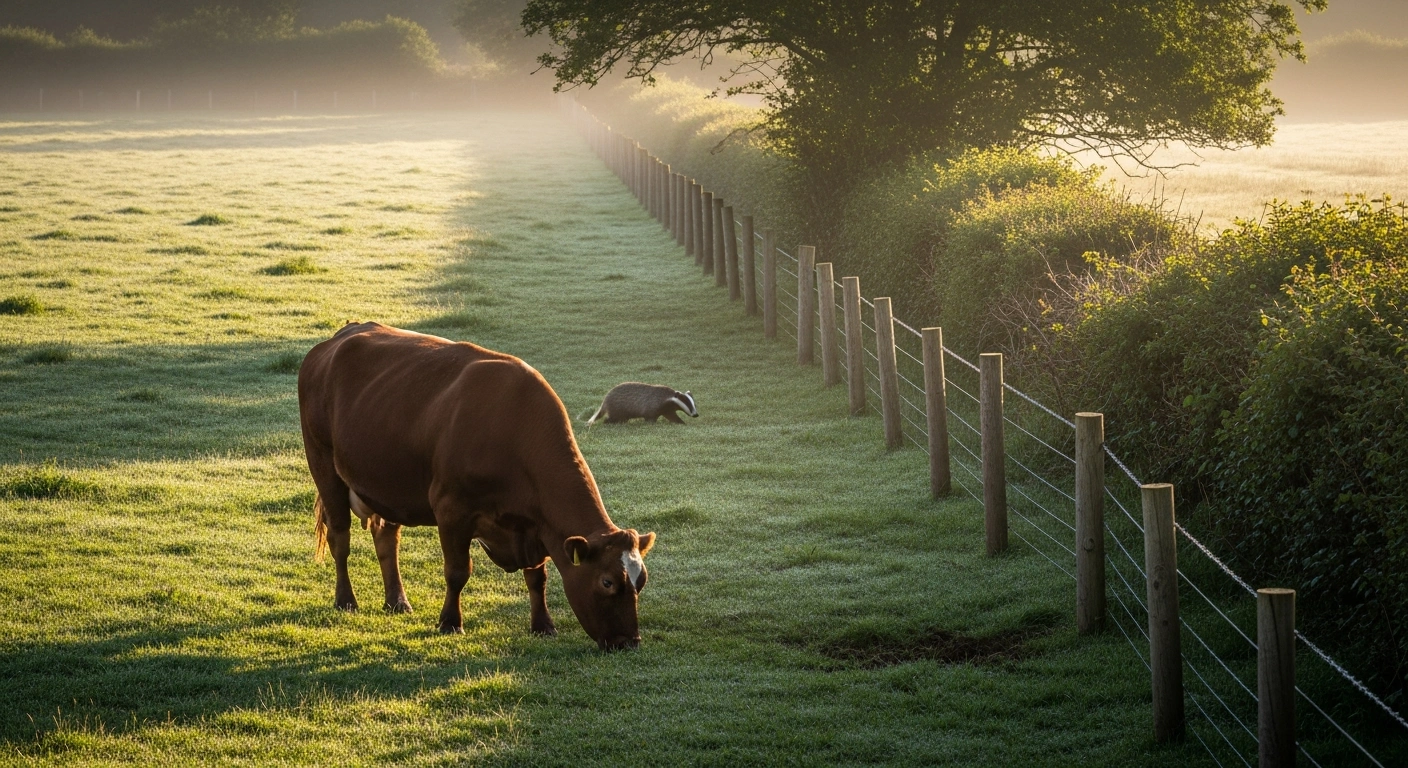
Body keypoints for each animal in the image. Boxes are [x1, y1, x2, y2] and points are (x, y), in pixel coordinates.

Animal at [297, 322, 656, 650]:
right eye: (607, 582)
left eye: (641, 581)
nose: (629, 642)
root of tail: (340, 337)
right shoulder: (451, 510)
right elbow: (457, 571)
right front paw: (449, 622)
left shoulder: (534, 528)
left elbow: (536, 578)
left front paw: (543, 625)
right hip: (324, 466)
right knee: (339, 537)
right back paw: (346, 600)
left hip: (387, 486)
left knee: (387, 540)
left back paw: (397, 601)